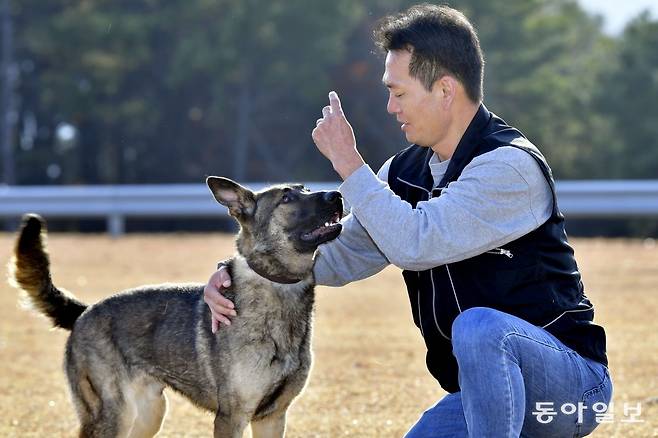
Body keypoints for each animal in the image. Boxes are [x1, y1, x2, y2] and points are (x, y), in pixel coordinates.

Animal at [7, 178, 344, 438]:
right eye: (287, 198)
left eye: (306, 188)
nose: (337, 195)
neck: (278, 286)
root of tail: (85, 312)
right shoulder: (231, 418)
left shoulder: (272, 417)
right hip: (112, 415)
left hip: (148, 415)